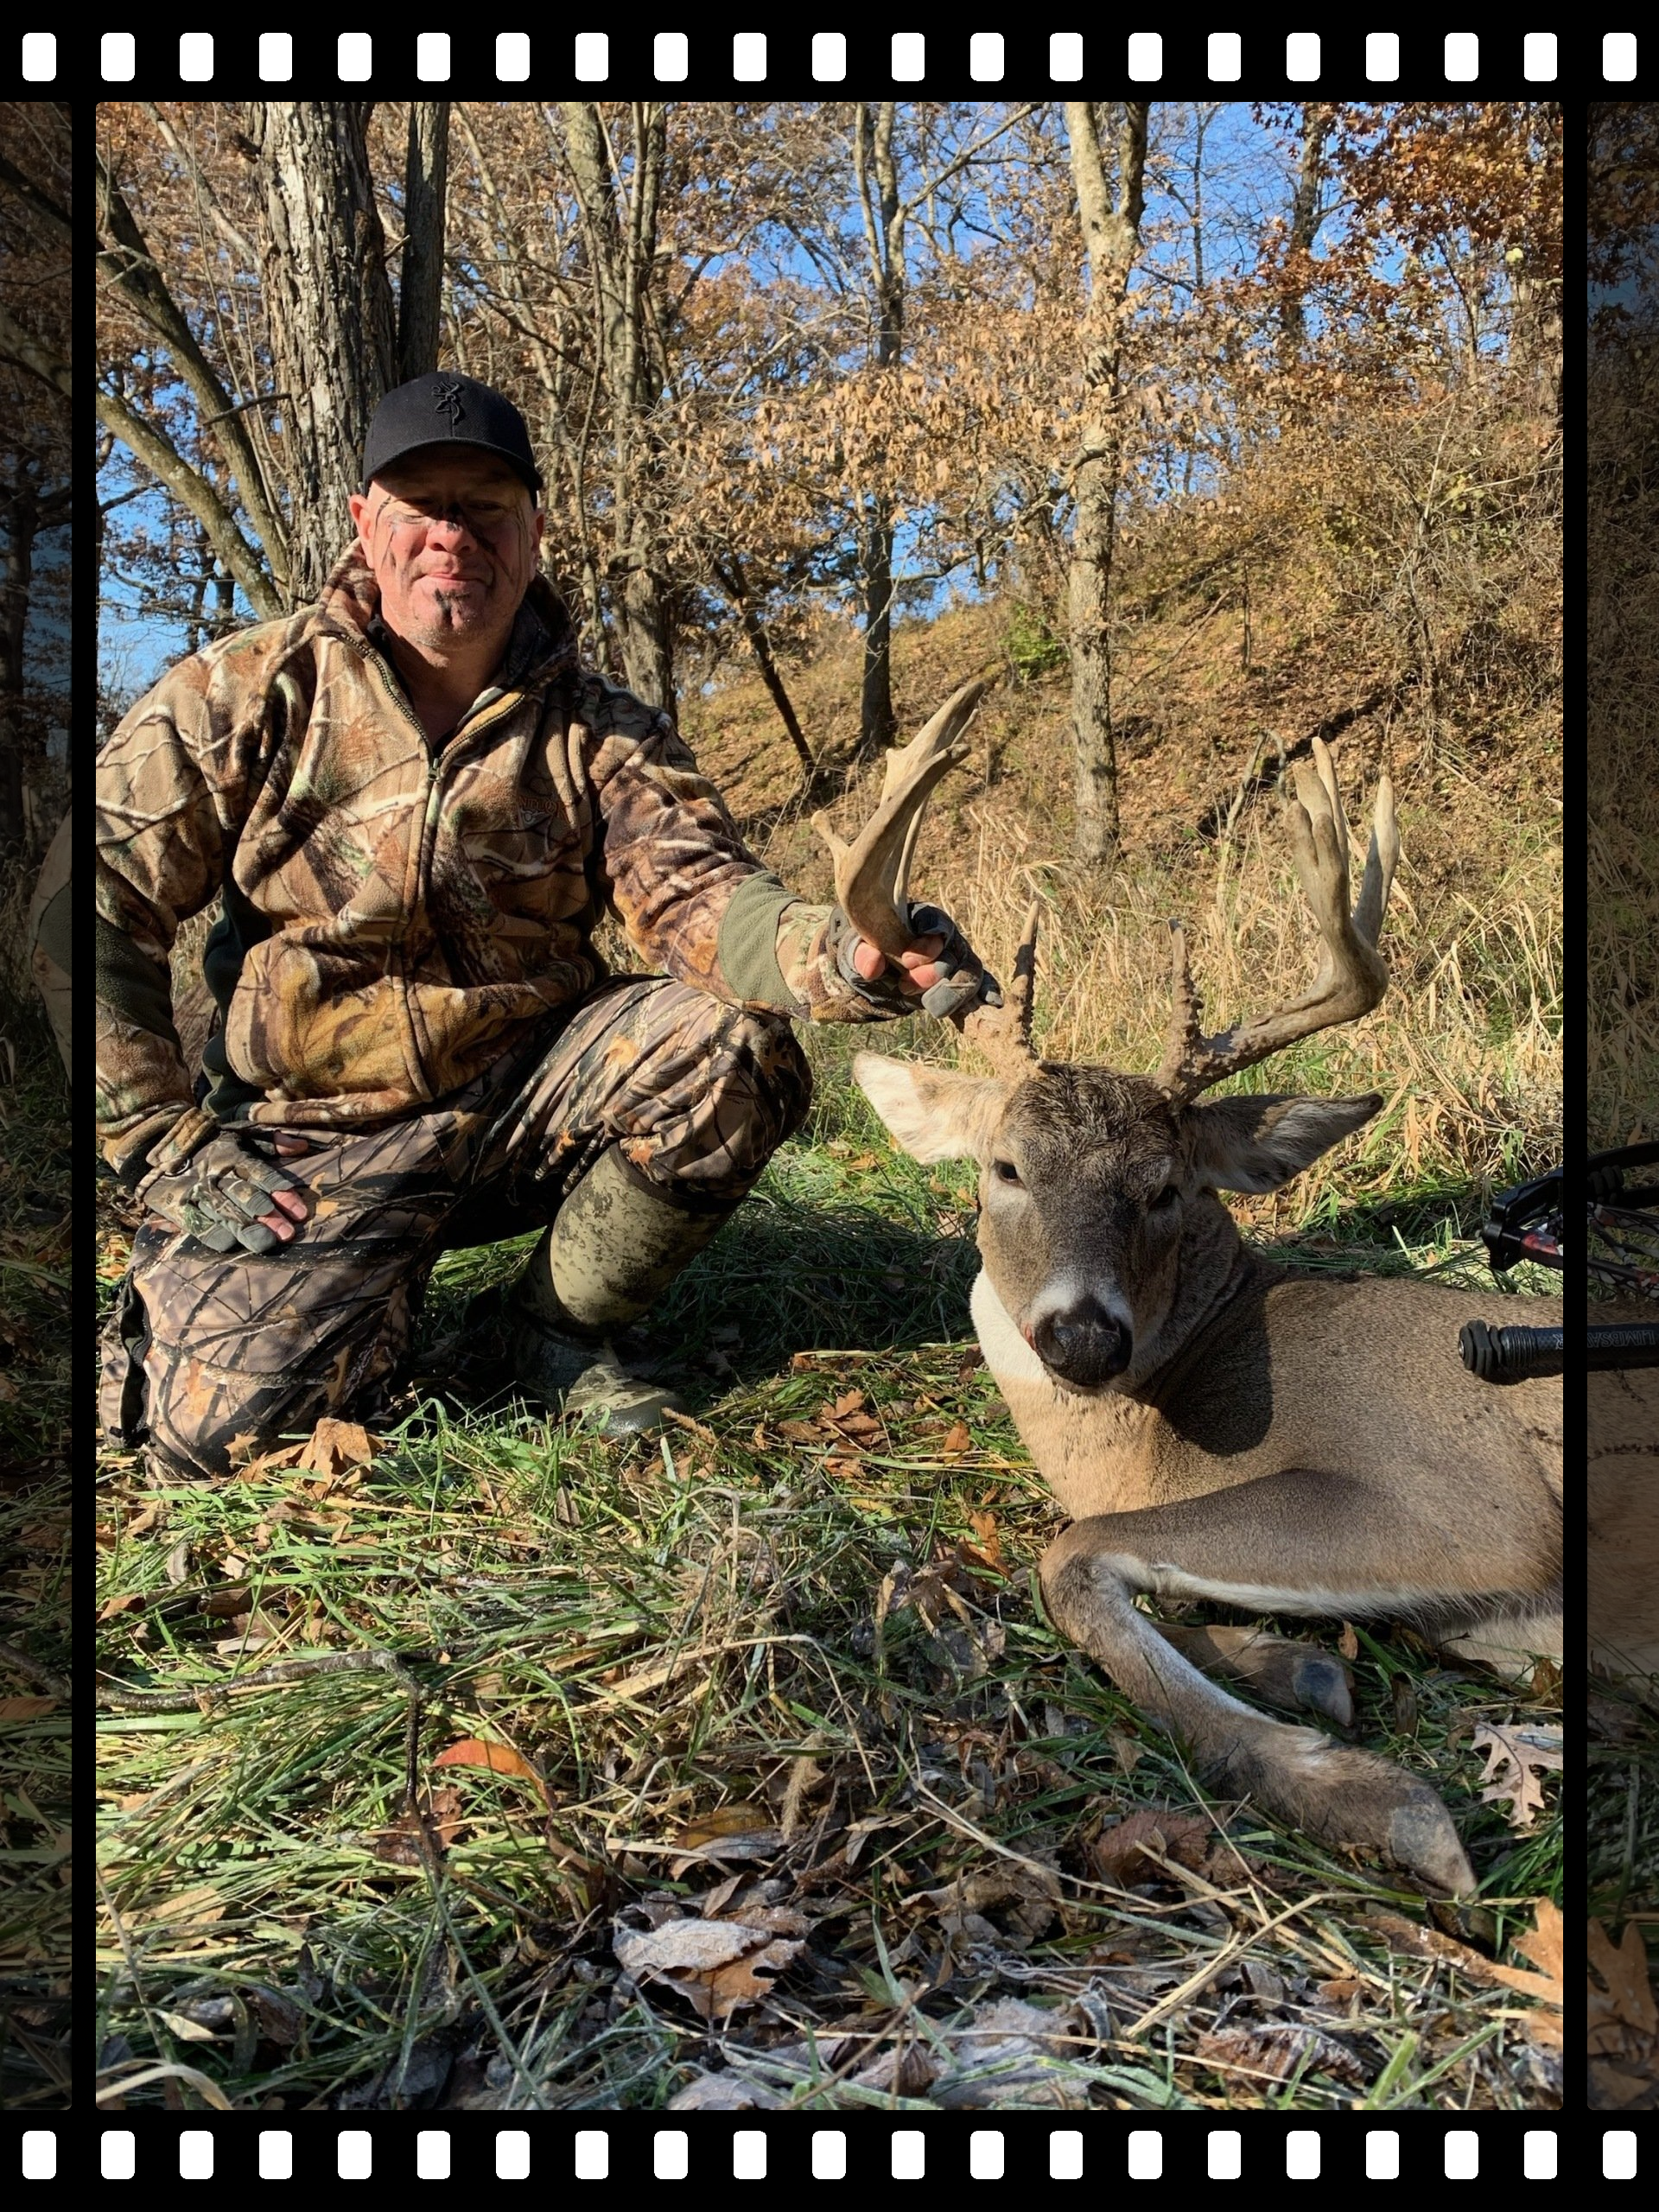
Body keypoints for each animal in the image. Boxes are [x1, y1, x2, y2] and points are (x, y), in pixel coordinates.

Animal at [826, 680, 1562, 1896]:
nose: (1082, 1338)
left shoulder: (1466, 1502)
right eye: (1005, 1167)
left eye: (1166, 1186)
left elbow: (1069, 1555)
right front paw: (1300, 1668)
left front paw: (1368, 1794)